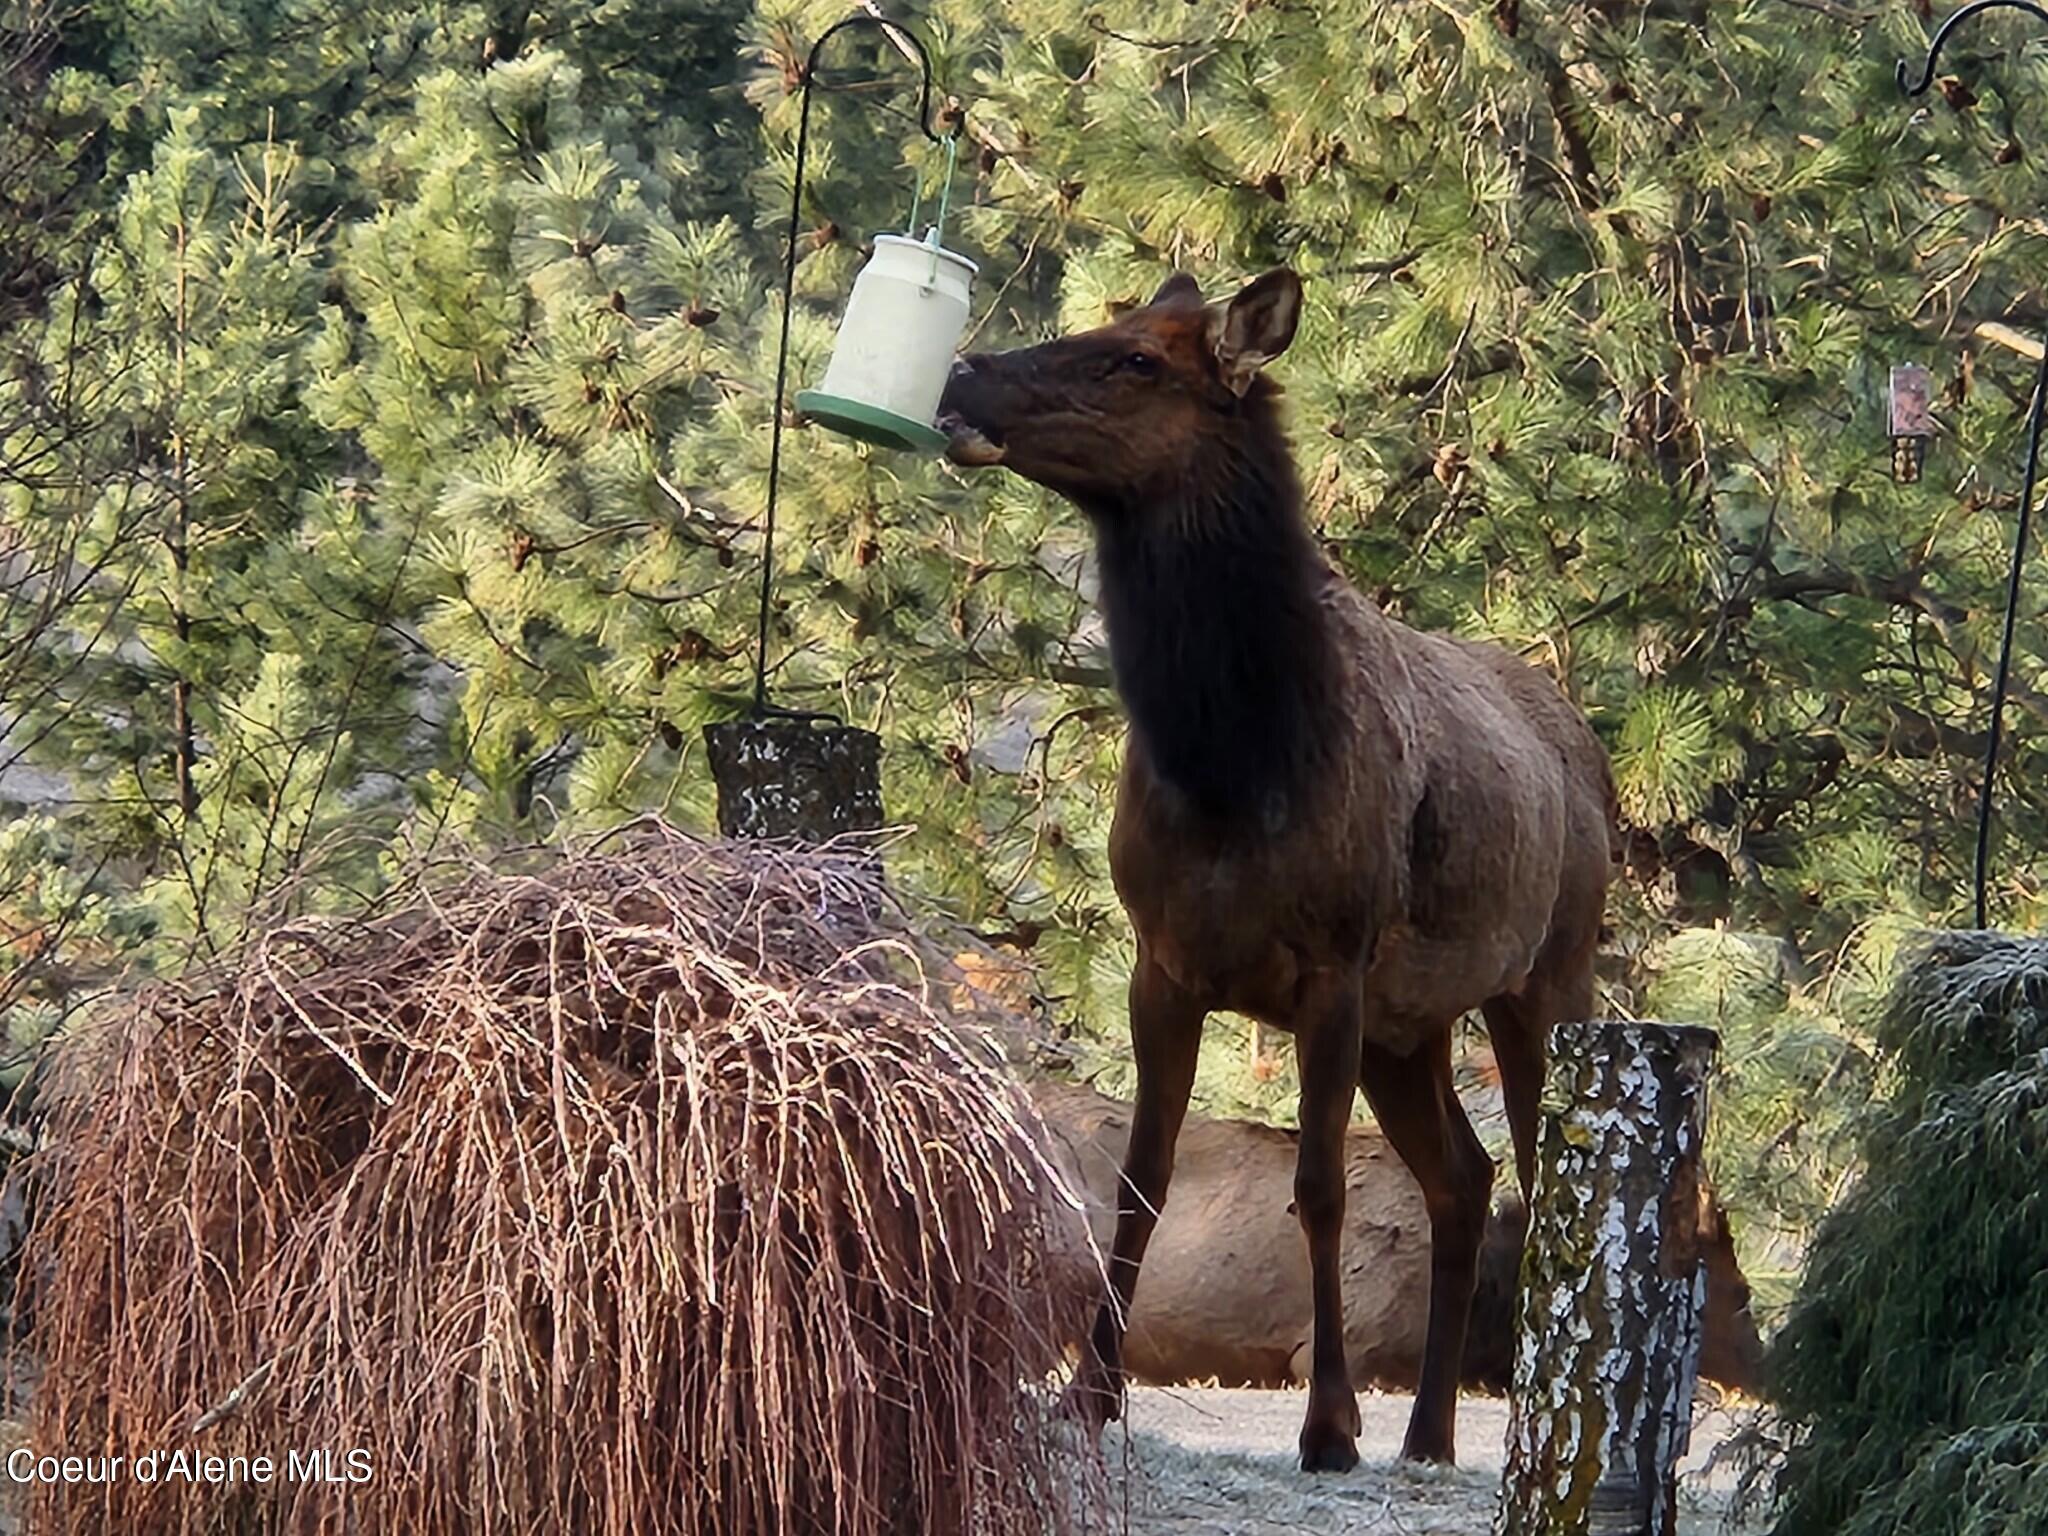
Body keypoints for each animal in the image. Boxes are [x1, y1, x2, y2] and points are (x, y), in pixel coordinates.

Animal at [936, 269, 1618, 1473]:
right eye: (1110, 323)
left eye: (1136, 362)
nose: (967, 372)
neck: (1231, 760)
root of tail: (1590, 750)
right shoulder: (1161, 961)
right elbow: (1141, 1178)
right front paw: (1087, 1393)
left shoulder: (1333, 962)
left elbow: (1320, 1184)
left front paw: (1330, 1424)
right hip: (1410, 1024)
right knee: (1464, 1175)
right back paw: (1429, 1434)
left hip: (1547, 973)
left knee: (1544, 1177)